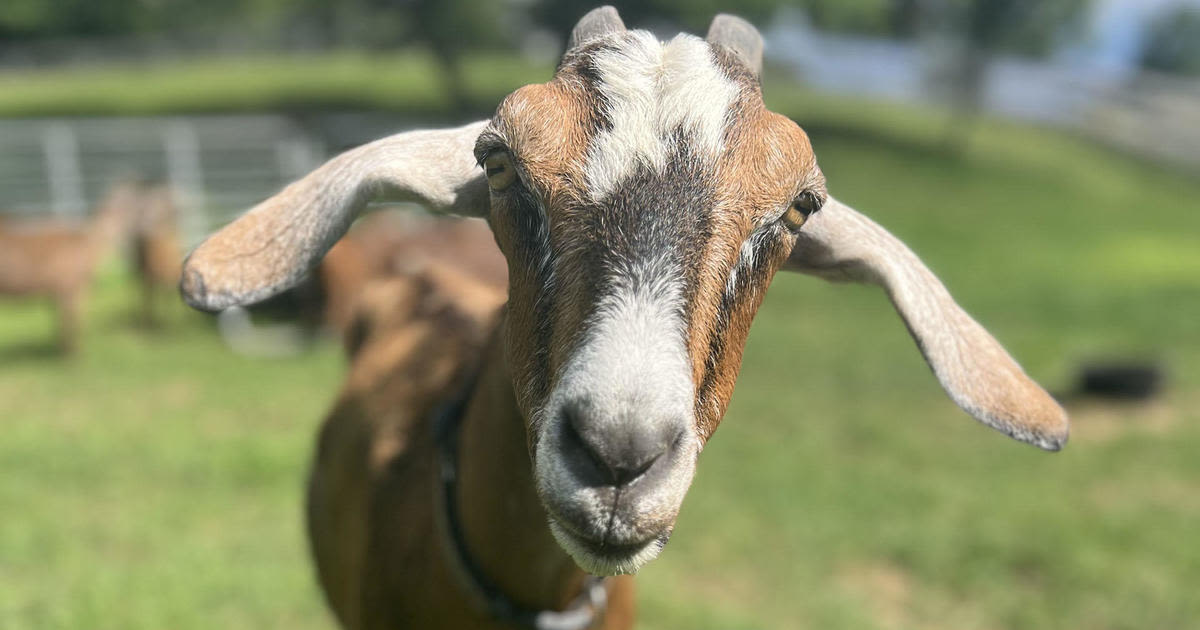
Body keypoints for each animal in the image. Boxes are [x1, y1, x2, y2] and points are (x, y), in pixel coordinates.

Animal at [0, 178, 138, 350]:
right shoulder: (70, 287)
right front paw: (74, 354)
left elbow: (62, 325)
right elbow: (73, 324)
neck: (88, 248)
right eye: (133, 201)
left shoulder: (58, 291)